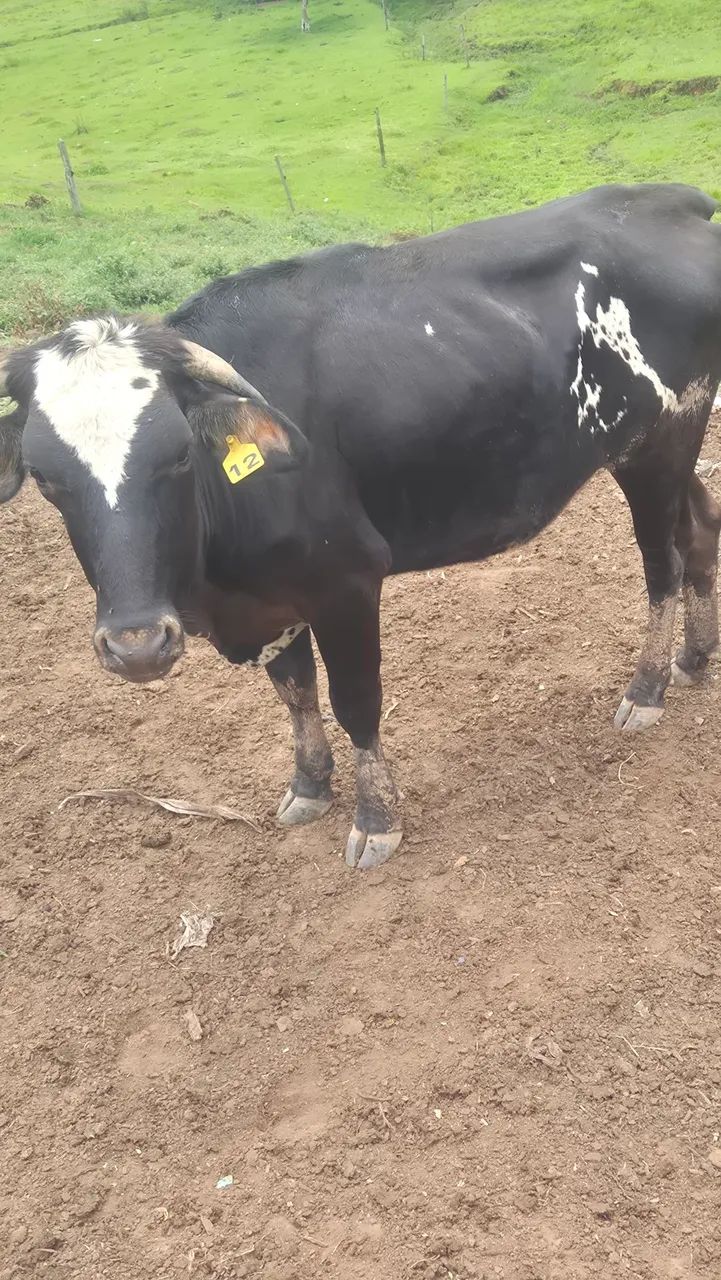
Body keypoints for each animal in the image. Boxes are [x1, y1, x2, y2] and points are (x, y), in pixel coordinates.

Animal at [2, 183, 721, 869]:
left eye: (179, 453)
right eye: (44, 476)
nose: (138, 645)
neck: (219, 587)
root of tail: (669, 199)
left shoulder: (344, 581)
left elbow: (355, 700)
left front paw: (375, 819)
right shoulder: (271, 596)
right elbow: (294, 691)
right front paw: (309, 785)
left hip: (656, 443)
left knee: (663, 564)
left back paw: (648, 687)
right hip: (667, 449)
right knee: (700, 532)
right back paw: (693, 657)